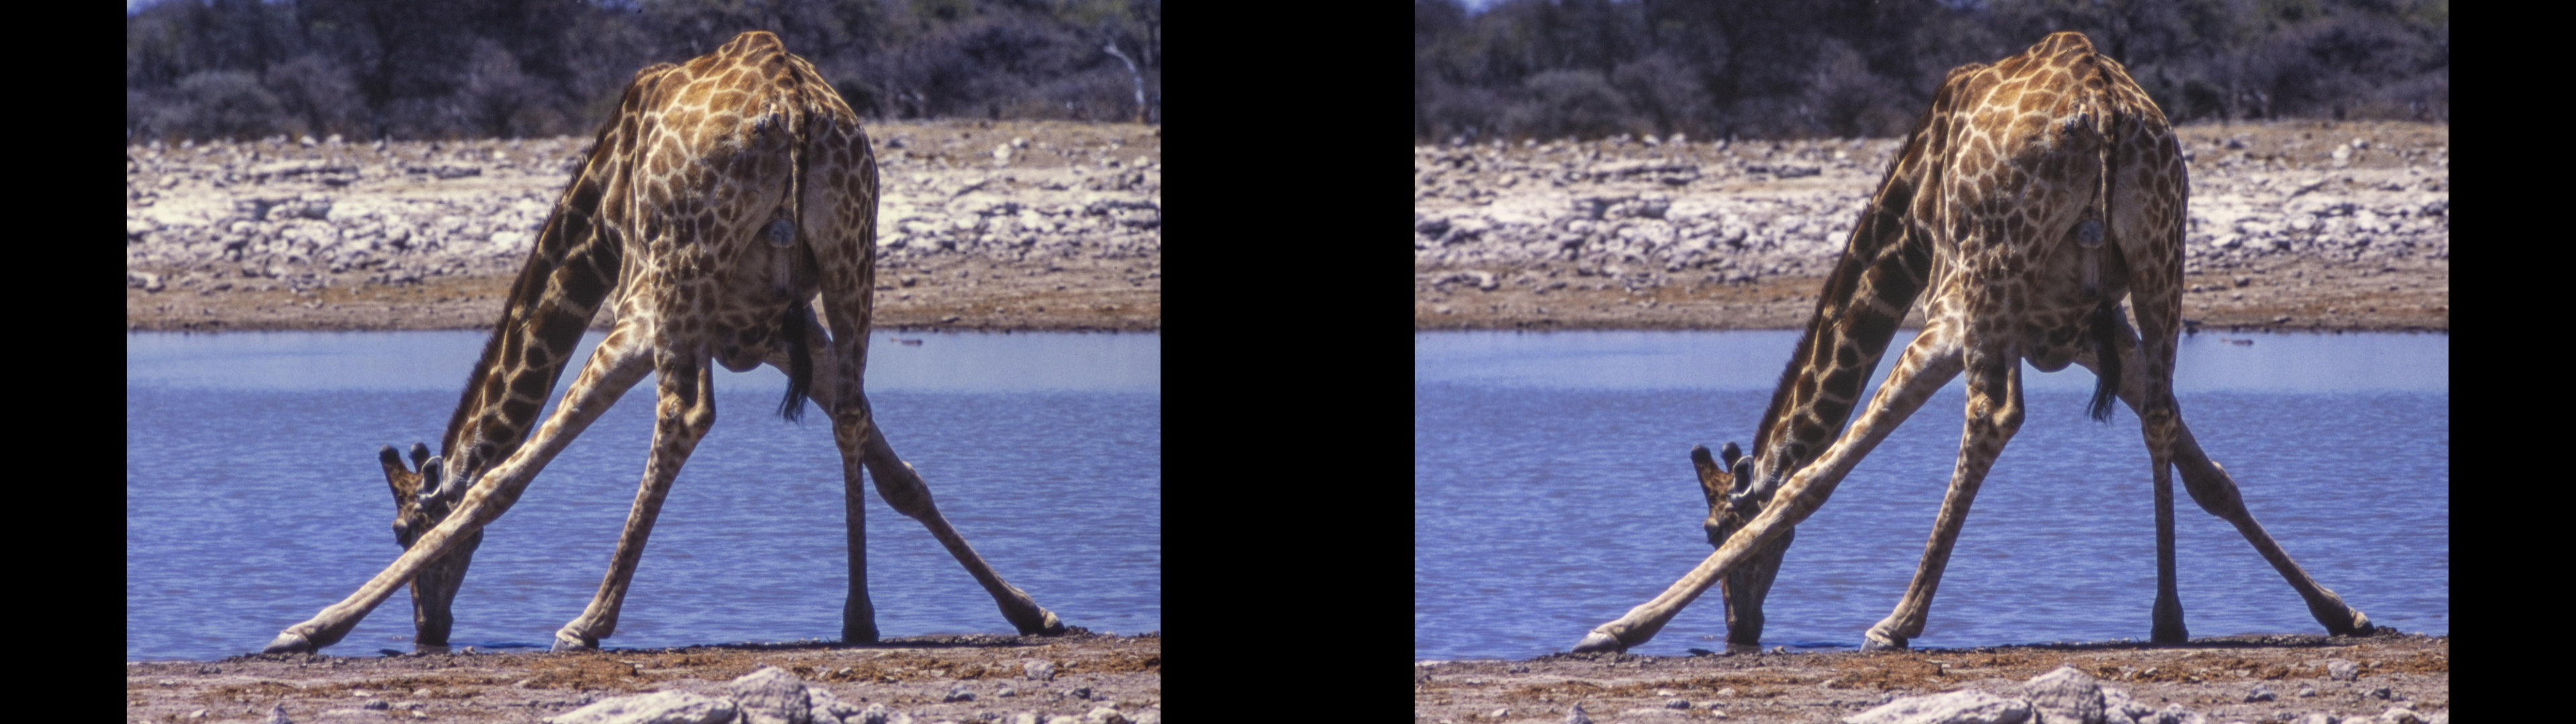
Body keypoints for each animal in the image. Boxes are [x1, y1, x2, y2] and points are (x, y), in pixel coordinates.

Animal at [264, 31, 1064, 654]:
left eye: (403, 529)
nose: (431, 629)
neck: (594, 224)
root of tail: (794, 109)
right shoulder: (773, 330)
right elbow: (898, 475)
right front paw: (1029, 610)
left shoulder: (640, 315)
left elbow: (501, 480)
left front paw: (309, 628)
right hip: (851, 253)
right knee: (849, 417)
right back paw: (858, 619)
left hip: (687, 271)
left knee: (683, 416)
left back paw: (589, 620)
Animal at [1574, 32, 2374, 653]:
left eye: (1714, 528)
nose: (1742, 628)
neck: (1907, 222)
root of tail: (2104, 109)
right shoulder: (2083, 330)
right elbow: (2208, 476)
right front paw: (2339, 610)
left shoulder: (1950, 315)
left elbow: (1810, 480)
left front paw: (1619, 627)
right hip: (2161, 254)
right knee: (2158, 416)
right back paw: (2167, 619)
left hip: (1996, 273)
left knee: (1992, 416)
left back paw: (1898, 620)